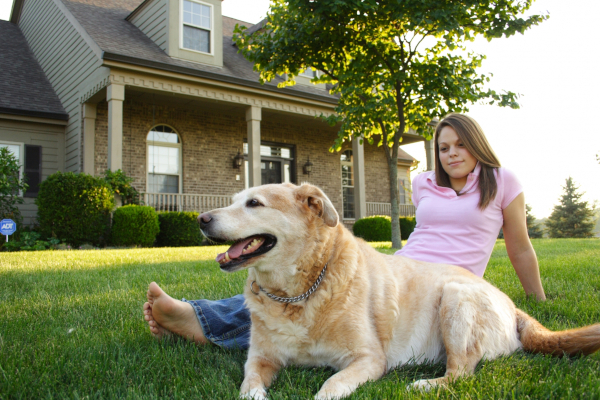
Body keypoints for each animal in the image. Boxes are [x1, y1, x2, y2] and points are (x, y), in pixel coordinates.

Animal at [200, 184, 600, 400]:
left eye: (254, 203)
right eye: (235, 199)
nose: (201, 219)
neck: (297, 293)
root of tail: (514, 306)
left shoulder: (367, 359)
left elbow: (330, 385)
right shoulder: (260, 359)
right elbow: (249, 384)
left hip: (455, 297)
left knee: (461, 372)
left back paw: (423, 384)